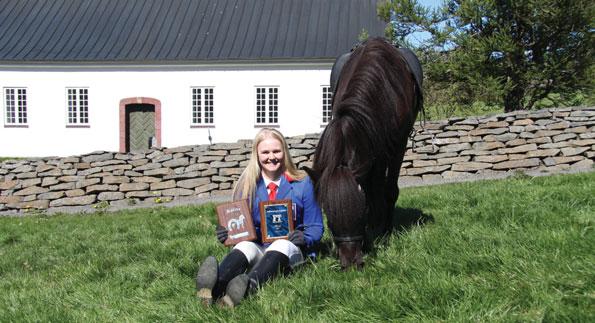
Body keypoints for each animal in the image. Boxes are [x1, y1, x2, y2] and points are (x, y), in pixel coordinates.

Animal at [308, 37, 424, 270]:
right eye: (329, 216)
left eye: (360, 213)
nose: (351, 262)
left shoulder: (397, 144)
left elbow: (386, 191)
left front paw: (382, 233)